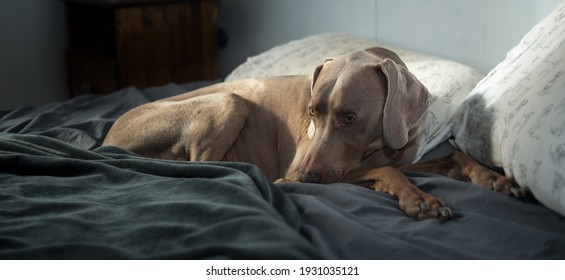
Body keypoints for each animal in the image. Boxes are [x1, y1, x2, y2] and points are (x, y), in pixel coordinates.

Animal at [102, 47, 524, 221]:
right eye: (311, 113)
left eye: (349, 118)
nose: (302, 178)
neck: (375, 146)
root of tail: (106, 142)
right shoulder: (318, 171)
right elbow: (386, 172)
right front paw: (419, 199)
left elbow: (453, 156)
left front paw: (495, 180)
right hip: (228, 100)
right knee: (209, 167)